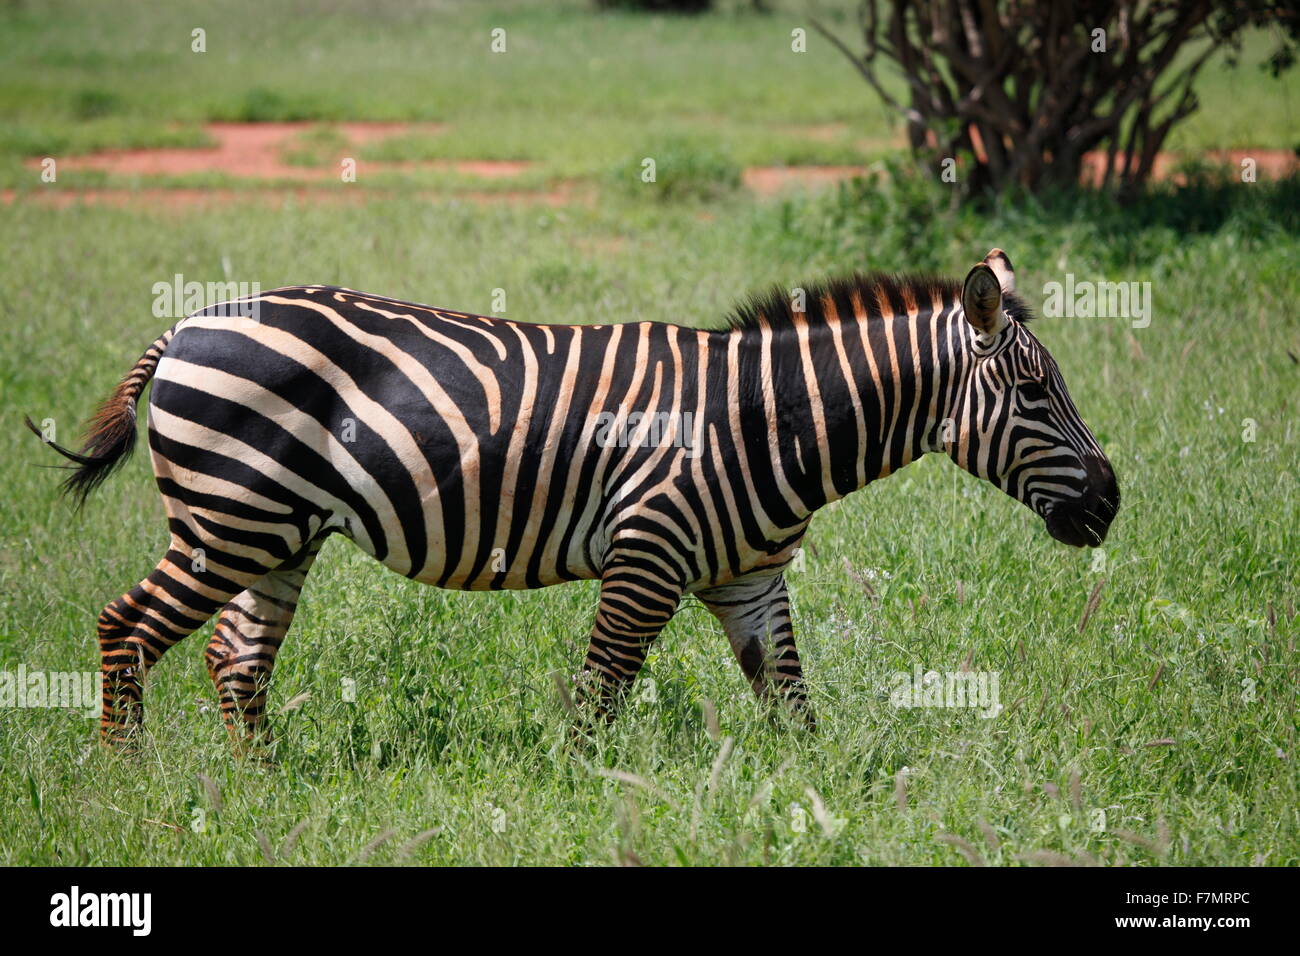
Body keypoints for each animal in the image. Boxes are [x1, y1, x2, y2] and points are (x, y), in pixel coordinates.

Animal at [25, 247, 1112, 749]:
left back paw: (266, 785)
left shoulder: (749, 577)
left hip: (276, 533)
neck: (767, 420)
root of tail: (188, 323)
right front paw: (581, 791)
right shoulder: (648, 553)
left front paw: (829, 796)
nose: (1110, 502)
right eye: (1032, 392)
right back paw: (127, 780)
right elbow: (600, 693)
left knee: (234, 656)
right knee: (126, 627)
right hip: (229, 519)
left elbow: (793, 704)